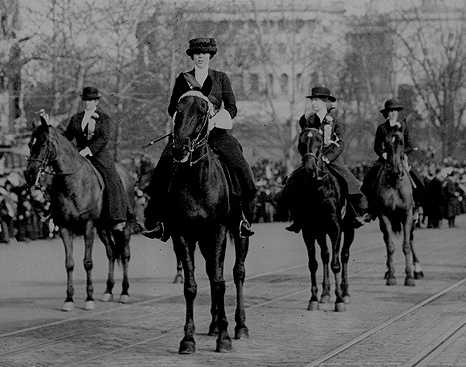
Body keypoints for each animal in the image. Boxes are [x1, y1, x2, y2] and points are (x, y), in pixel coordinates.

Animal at [24, 116, 134, 312]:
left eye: (43, 143)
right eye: (30, 144)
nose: (29, 175)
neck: (73, 182)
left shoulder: (88, 226)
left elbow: (87, 262)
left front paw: (89, 299)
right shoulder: (64, 228)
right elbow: (69, 263)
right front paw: (69, 299)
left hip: (124, 226)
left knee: (125, 253)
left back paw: (124, 293)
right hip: (103, 228)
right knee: (112, 252)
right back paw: (108, 291)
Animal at [166, 87, 249, 356]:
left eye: (203, 111)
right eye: (177, 109)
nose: (179, 148)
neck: (197, 180)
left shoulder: (218, 231)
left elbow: (220, 282)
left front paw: (224, 337)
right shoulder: (183, 235)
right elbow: (191, 285)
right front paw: (188, 339)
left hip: (239, 233)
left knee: (237, 272)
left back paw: (239, 326)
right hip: (201, 241)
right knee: (211, 271)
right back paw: (213, 323)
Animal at [282, 129, 354, 314]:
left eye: (320, 141)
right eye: (300, 142)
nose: (310, 169)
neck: (317, 189)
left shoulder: (336, 228)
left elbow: (336, 264)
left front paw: (339, 300)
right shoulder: (309, 230)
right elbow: (313, 263)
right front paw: (314, 298)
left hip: (349, 230)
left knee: (344, 256)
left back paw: (345, 293)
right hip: (321, 232)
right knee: (325, 256)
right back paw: (325, 294)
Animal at [374, 129, 424, 288]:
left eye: (401, 142)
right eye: (386, 142)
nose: (395, 170)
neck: (395, 182)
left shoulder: (407, 215)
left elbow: (406, 245)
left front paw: (409, 277)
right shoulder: (384, 216)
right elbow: (390, 245)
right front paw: (391, 276)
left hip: (413, 218)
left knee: (411, 240)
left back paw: (417, 269)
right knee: (386, 240)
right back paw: (388, 271)